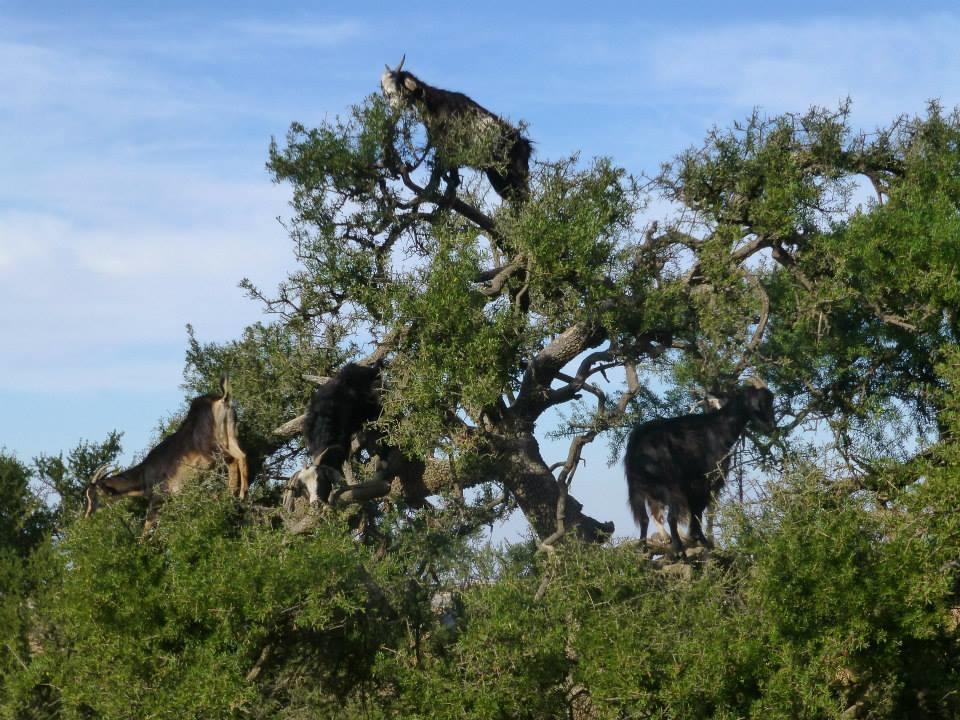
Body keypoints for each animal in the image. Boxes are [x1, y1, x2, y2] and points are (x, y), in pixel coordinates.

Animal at [84, 376, 248, 528]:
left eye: (95, 495)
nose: (88, 516)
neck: (144, 475)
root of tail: (222, 400)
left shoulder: (159, 497)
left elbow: (147, 526)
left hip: (213, 449)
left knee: (233, 459)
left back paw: (235, 494)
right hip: (230, 437)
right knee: (242, 455)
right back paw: (239, 494)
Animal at [380, 54, 532, 201]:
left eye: (397, 84)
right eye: (384, 91)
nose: (393, 105)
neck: (434, 104)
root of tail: (525, 144)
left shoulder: (448, 146)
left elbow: (445, 179)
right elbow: (452, 179)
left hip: (517, 172)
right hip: (496, 174)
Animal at [628, 382, 776, 552]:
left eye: (770, 400)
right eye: (759, 402)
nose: (770, 426)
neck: (719, 429)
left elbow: (696, 510)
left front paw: (697, 538)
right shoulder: (708, 479)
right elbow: (698, 509)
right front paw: (702, 541)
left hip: (639, 489)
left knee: (644, 517)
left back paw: (644, 547)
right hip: (670, 486)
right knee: (670, 516)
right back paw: (678, 548)